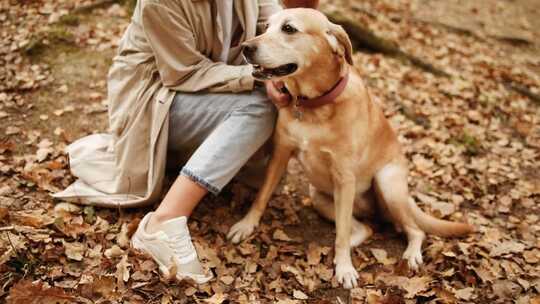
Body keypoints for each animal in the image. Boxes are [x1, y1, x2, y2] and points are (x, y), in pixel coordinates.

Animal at [227, 8, 472, 288]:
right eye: (266, 27)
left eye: (289, 29)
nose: (246, 47)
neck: (313, 106)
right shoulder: (280, 153)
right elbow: (262, 195)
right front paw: (247, 224)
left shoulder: (344, 178)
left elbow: (342, 232)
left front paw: (344, 267)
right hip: (319, 195)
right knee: (365, 229)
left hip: (387, 184)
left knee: (414, 230)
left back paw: (409, 254)